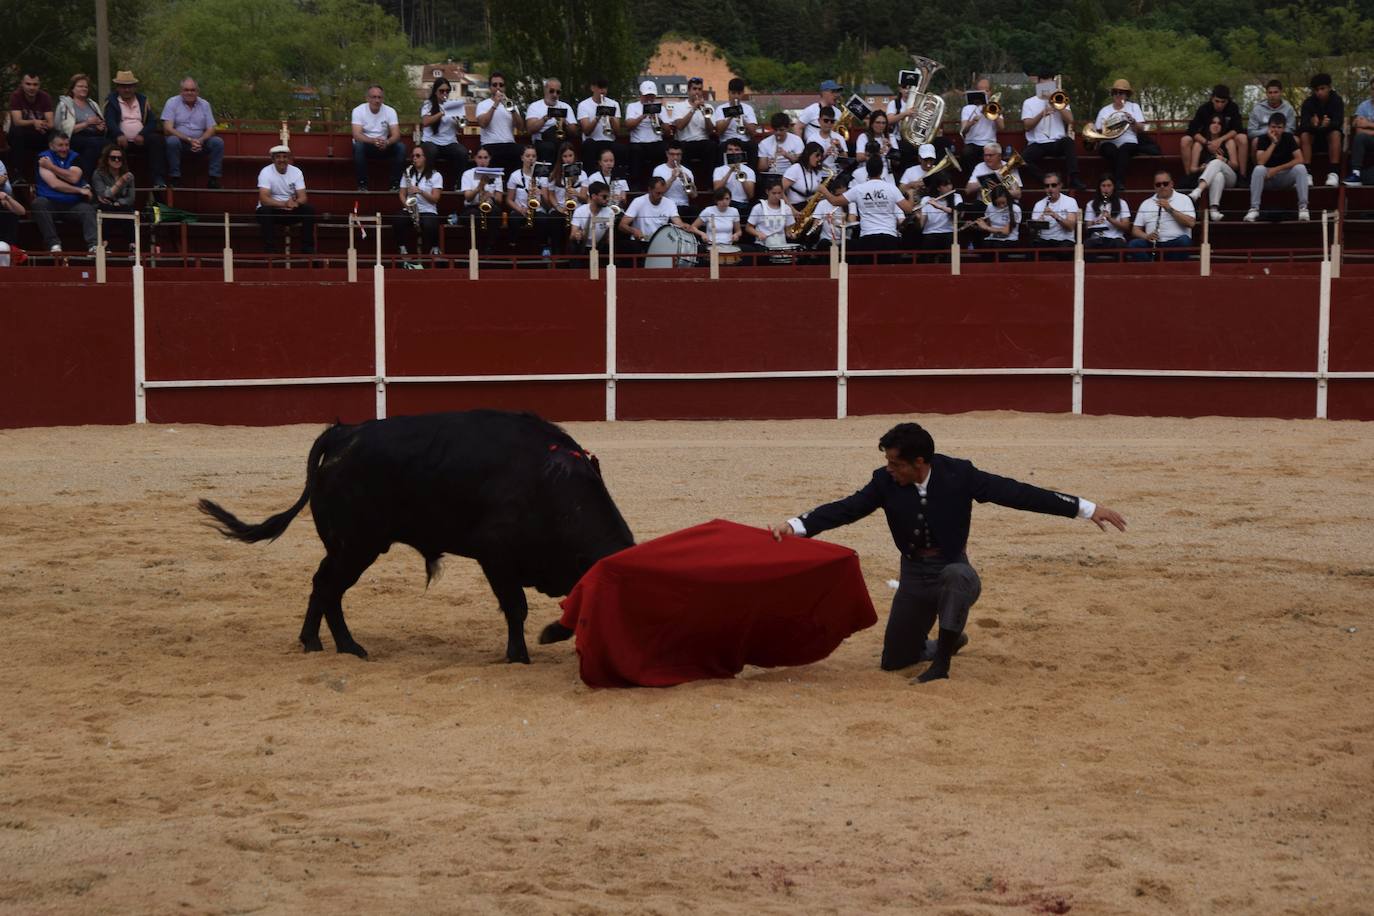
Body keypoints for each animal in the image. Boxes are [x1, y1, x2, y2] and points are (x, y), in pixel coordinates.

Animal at [197, 411, 632, 661]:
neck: (553, 487)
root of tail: (342, 435)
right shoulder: (496, 556)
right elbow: (516, 608)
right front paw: (519, 655)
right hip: (357, 546)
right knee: (329, 587)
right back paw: (343, 647)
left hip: (345, 546)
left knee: (324, 585)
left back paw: (321, 642)